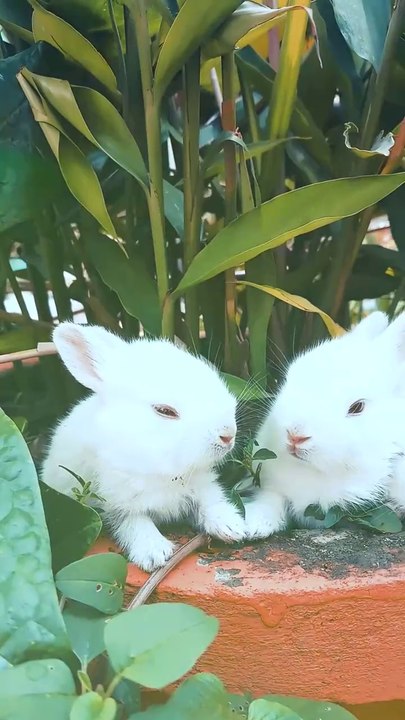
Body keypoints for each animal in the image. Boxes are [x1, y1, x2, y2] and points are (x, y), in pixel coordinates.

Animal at [41, 322, 246, 571]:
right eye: (165, 411)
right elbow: (135, 524)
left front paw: (232, 527)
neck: (161, 465)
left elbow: (211, 500)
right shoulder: (116, 503)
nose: (228, 434)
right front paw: (155, 554)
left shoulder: (202, 483)